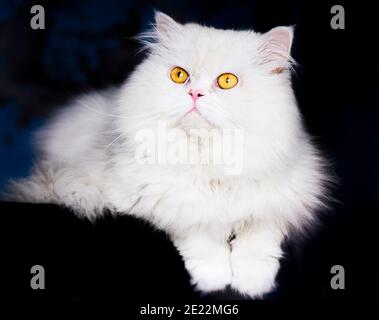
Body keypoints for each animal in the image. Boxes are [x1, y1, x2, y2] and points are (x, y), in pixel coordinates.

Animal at [7, 11, 332, 298]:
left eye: (227, 81)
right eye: (179, 76)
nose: (195, 94)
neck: (207, 160)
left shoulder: (282, 200)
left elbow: (259, 236)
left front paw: (253, 283)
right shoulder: (156, 203)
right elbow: (198, 235)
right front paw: (214, 279)